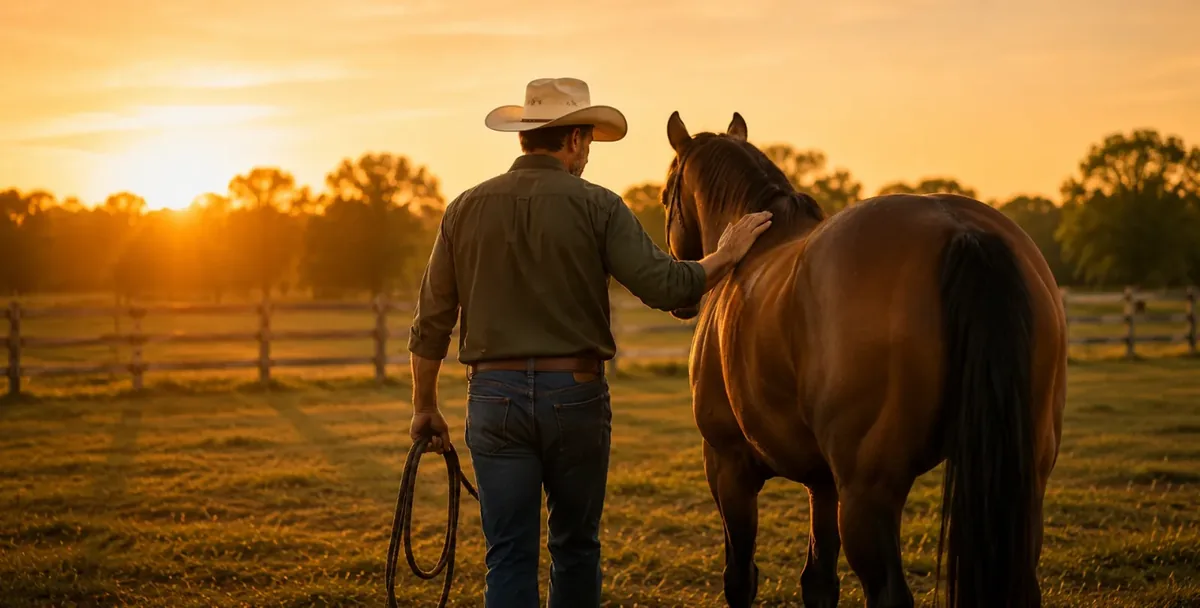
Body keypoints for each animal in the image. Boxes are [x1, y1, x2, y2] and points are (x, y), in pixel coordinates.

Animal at [658, 111, 1067, 608]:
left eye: (665, 195)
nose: (682, 298)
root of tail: (962, 230)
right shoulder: (823, 482)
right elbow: (818, 582)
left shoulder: (729, 467)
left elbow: (740, 578)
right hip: (1024, 479)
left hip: (868, 491)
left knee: (888, 592)